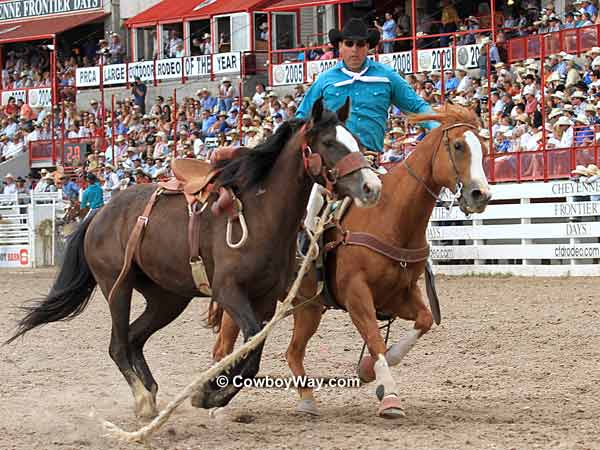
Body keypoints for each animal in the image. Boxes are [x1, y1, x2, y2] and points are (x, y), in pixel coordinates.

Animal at [5, 98, 380, 418]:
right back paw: (142, 400)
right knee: (118, 344)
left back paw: (151, 391)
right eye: (329, 143)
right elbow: (250, 346)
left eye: (356, 141)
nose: (371, 187)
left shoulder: (264, 299)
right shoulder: (229, 292)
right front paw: (210, 394)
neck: (260, 212)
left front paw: (210, 389)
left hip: (167, 298)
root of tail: (99, 213)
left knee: (135, 337)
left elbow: (252, 347)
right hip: (117, 287)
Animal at [211, 104, 492, 418]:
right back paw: (220, 407)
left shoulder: (400, 294)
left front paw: (369, 371)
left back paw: (307, 401)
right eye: (458, 146)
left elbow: (424, 320)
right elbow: (374, 338)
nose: (481, 194)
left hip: (307, 308)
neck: (391, 217)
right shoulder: (356, 294)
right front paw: (389, 395)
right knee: (223, 348)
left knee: (293, 352)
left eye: (483, 148)